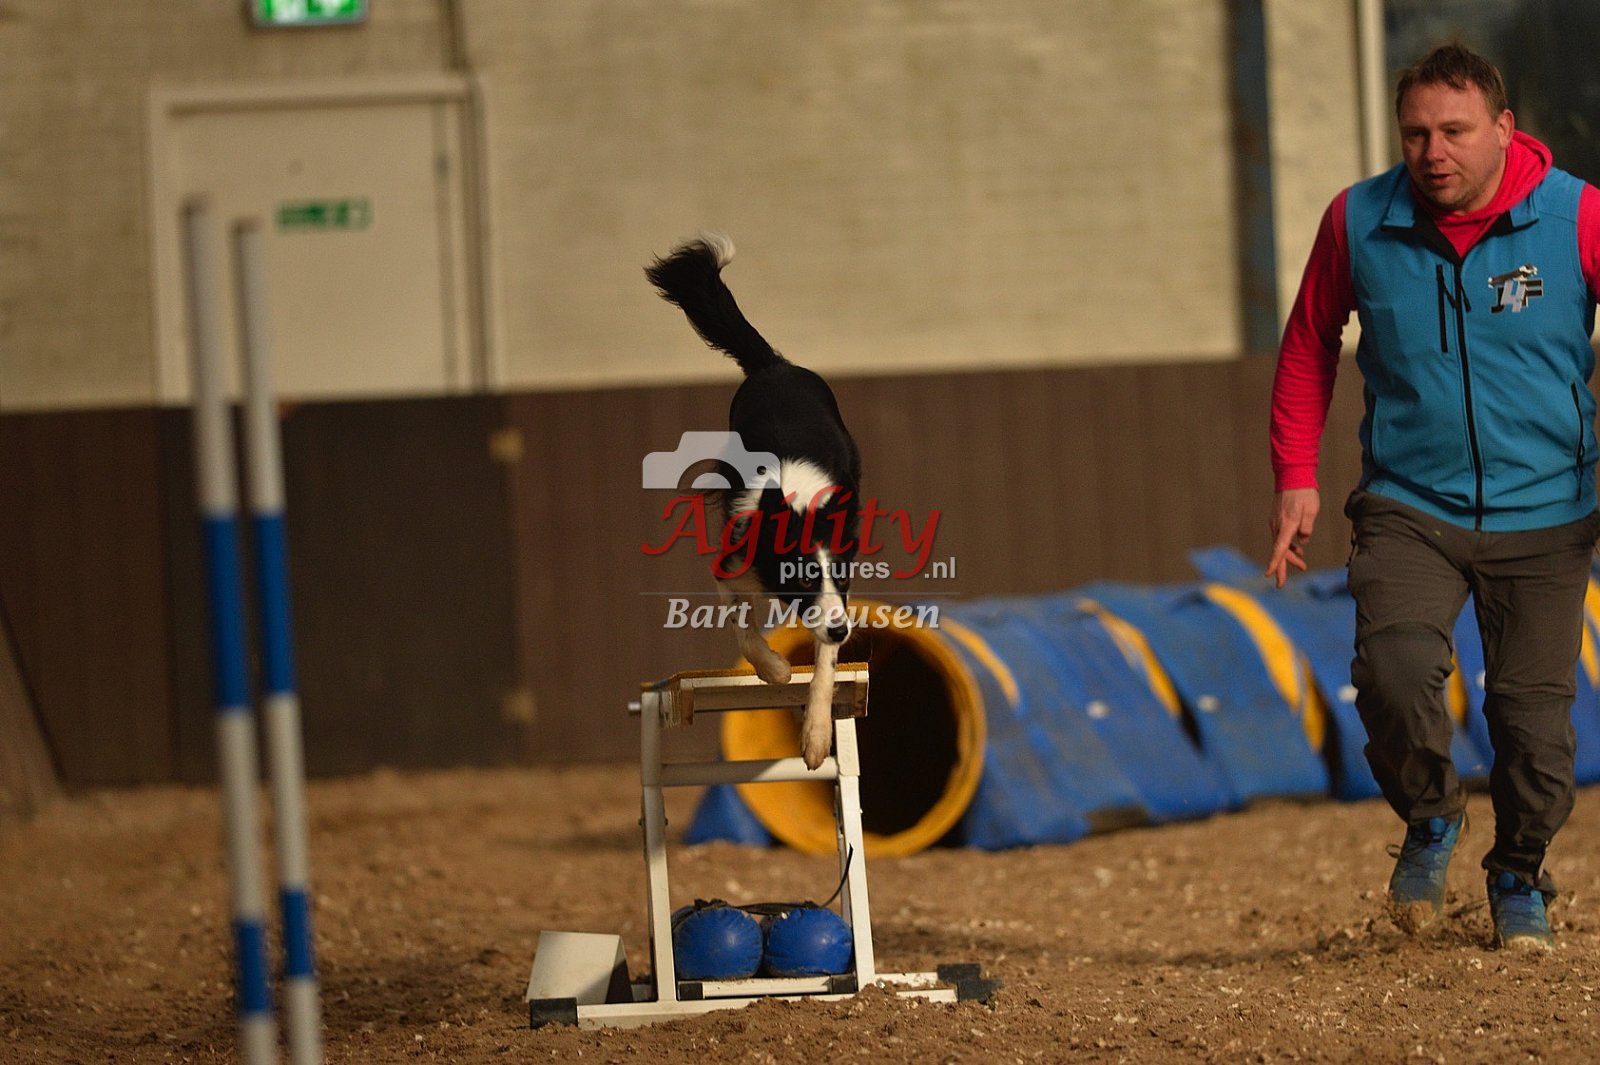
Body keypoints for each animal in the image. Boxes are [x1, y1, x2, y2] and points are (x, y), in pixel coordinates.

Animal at [646, 232, 862, 770]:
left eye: (842, 576)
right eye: (799, 576)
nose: (842, 632)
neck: (794, 504)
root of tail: (775, 365)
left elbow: (825, 665)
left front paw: (815, 737)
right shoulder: (730, 561)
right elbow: (741, 623)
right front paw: (776, 670)